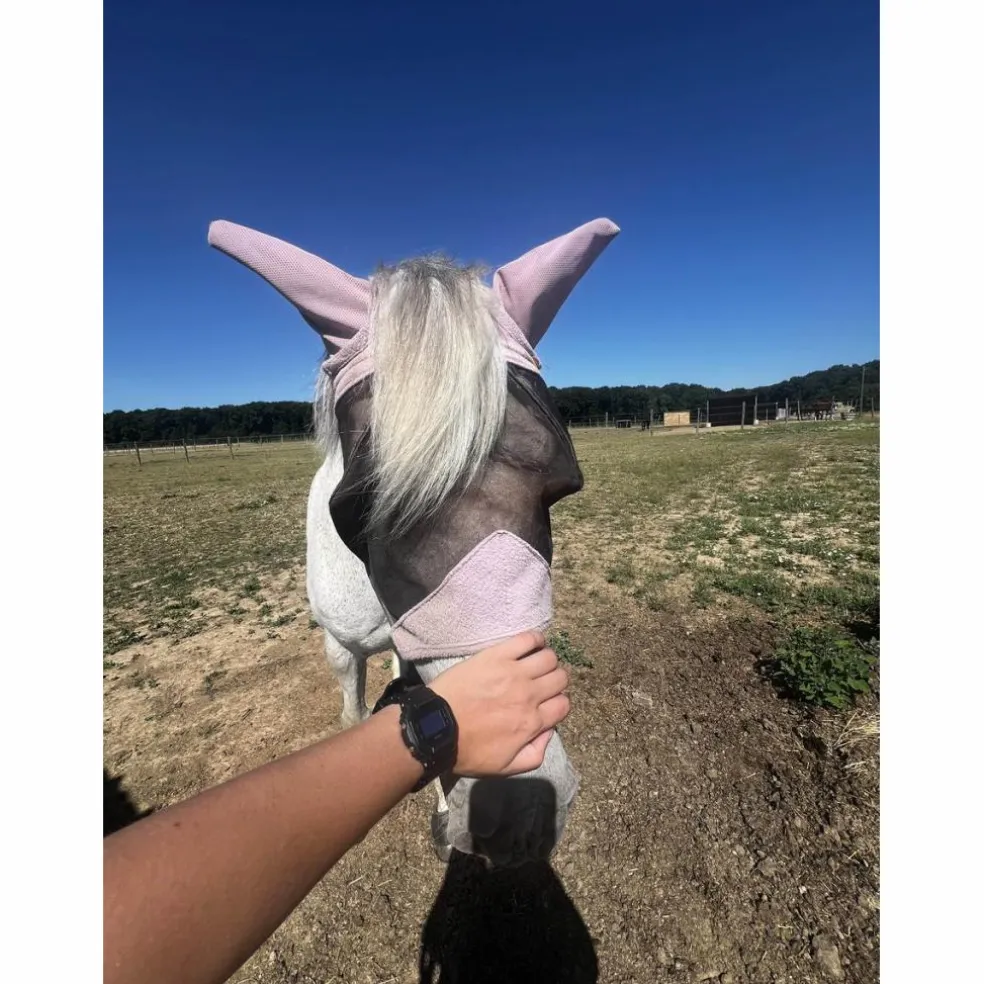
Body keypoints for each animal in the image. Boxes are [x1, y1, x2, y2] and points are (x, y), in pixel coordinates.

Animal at [208, 217, 619, 867]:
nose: (520, 812)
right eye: (358, 507)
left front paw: (448, 816)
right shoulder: (340, 646)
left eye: (559, 488)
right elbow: (354, 709)